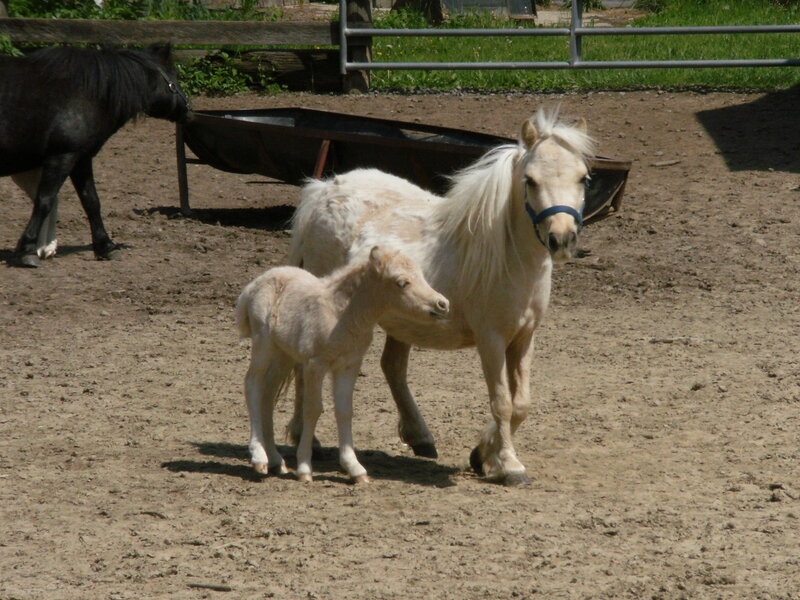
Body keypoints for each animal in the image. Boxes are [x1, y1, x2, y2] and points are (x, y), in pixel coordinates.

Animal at [0, 43, 193, 267]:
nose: (189, 109)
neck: (83, 94)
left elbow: (91, 202)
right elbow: (44, 200)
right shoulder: (62, 157)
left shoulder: (79, 158)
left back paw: (46, 248)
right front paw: (26, 250)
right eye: (174, 76)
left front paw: (106, 247)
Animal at [236, 246, 450, 483]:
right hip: (264, 343)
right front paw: (304, 468)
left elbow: (345, 410)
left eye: (422, 275)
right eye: (402, 282)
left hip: (284, 354)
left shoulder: (349, 365)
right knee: (252, 384)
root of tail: (254, 284)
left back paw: (276, 461)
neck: (341, 313)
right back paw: (259, 457)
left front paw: (355, 469)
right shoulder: (315, 365)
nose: (442, 304)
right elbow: (312, 409)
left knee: (267, 394)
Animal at [287, 107, 595, 486]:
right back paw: (306, 439)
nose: (561, 239)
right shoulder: (491, 339)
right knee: (305, 365)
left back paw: (420, 436)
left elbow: (521, 403)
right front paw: (509, 466)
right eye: (531, 181)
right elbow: (502, 402)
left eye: (583, 178)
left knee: (393, 368)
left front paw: (483, 455)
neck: (510, 256)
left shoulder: (524, 337)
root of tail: (323, 190)